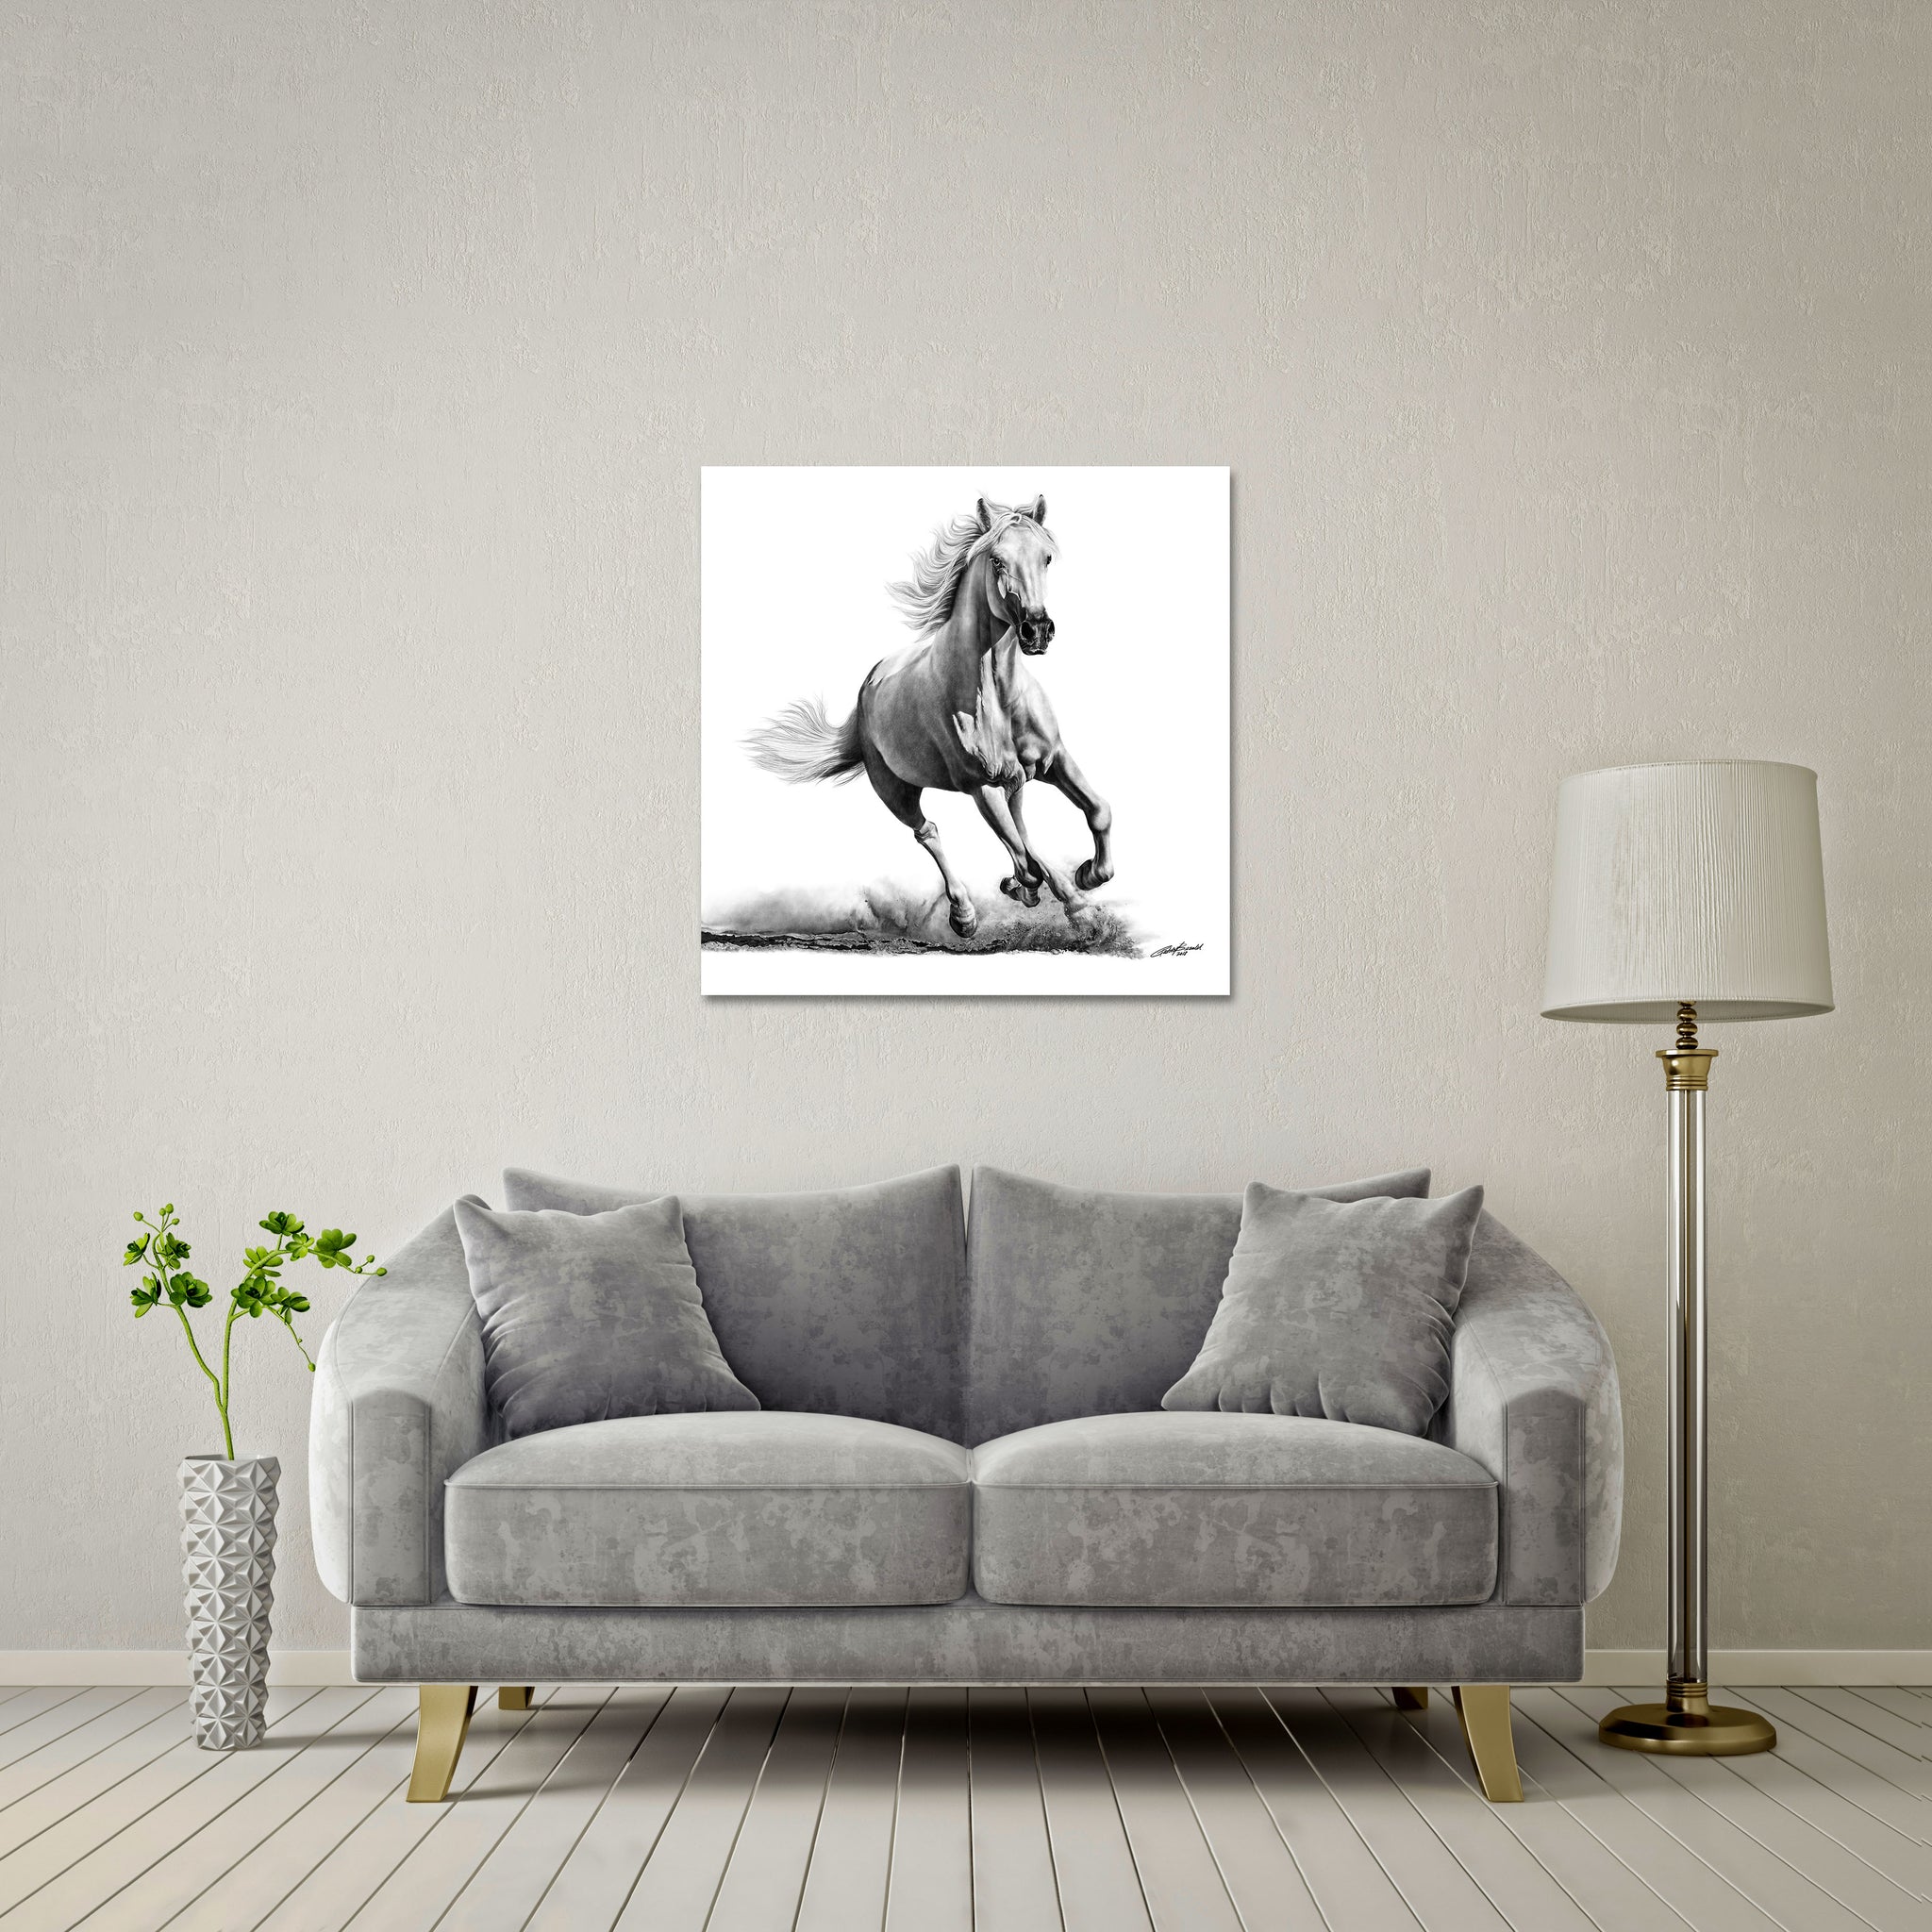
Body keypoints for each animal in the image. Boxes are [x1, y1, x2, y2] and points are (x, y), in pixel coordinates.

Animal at [743, 494, 1114, 941]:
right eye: (997, 560)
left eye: (1046, 557)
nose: (1037, 630)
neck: (997, 696)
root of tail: (868, 685)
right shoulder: (981, 787)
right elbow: (1029, 858)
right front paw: (1077, 906)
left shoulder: (1052, 758)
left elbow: (1096, 812)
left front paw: (1087, 880)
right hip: (896, 791)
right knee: (931, 833)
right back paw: (965, 915)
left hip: (1014, 781)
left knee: (1019, 829)